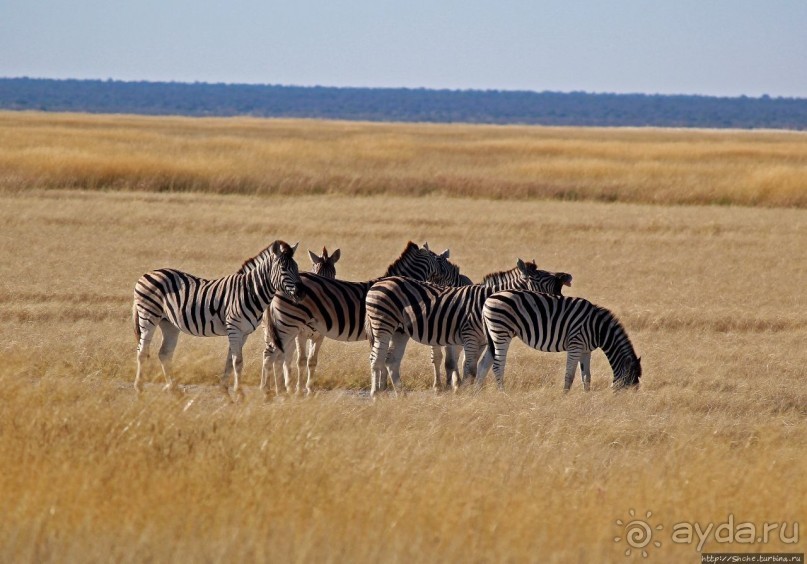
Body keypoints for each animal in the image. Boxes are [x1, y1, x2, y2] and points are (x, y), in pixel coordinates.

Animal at [133, 240, 304, 398]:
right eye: (283, 268)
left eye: (296, 267)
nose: (301, 293)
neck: (250, 292)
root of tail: (147, 273)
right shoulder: (234, 328)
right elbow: (238, 361)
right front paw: (240, 394)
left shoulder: (243, 333)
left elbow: (230, 361)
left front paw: (225, 390)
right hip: (148, 315)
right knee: (142, 351)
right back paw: (139, 389)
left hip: (168, 323)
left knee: (164, 353)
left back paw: (174, 390)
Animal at [262, 242, 442, 396]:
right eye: (440, 262)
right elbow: (382, 360)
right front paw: (381, 388)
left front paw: (381, 387)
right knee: (275, 355)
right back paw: (273, 390)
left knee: (280, 355)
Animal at [362, 260, 572, 396]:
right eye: (540, 276)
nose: (567, 275)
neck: (485, 302)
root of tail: (380, 282)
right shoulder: (470, 336)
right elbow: (469, 368)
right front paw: (465, 393)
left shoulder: (483, 341)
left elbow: (479, 367)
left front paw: (471, 391)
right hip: (383, 325)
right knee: (376, 358)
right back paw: (376, 394)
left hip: (400, 331)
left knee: (391, 360)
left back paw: (400, 394)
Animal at [480, 290, 644, 392]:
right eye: (629, 383)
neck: (598, 329)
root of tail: (489, 298)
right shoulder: (575, 345)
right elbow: (569, 375)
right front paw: (564, 397)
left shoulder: (586, 350)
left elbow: (586, 377)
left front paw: (587, 397)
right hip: (502, 332)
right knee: (497, 366)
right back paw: (503, 393)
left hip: (493, 334)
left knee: (483, 364)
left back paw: (477, 393)